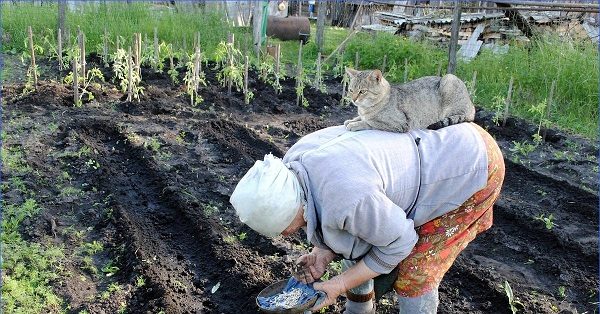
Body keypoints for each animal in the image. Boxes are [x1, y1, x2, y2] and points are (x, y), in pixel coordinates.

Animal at [344, 67, 476, 132]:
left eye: (362, 91)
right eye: (350, 90)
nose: (353, 100)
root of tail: (472, 105)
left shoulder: (401, 123)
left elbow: (371, 122)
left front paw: (355, 124)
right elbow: (361, 117)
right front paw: (352, 120)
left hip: (449, 79)